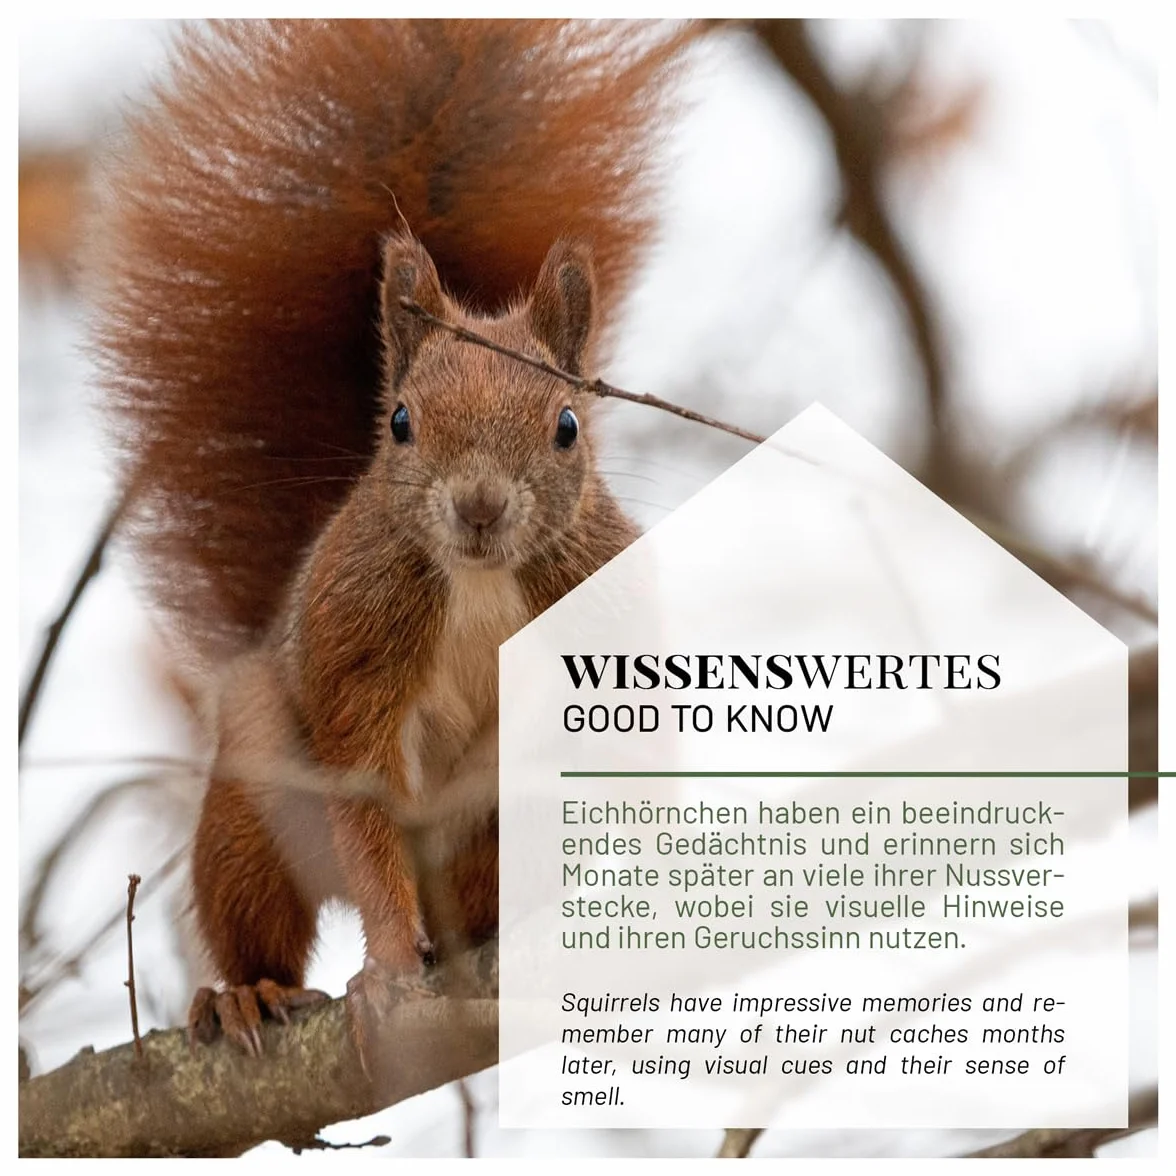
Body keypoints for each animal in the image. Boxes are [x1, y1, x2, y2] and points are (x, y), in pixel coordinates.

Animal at [91, 19, 698, 1052]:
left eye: (567, 426)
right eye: (402, 422)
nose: (480, 506)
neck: (479, 579)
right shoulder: (358, 650)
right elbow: (367, 800)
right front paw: (382, 970)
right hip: (255, 796)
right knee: (260, 905)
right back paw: (248, 993)